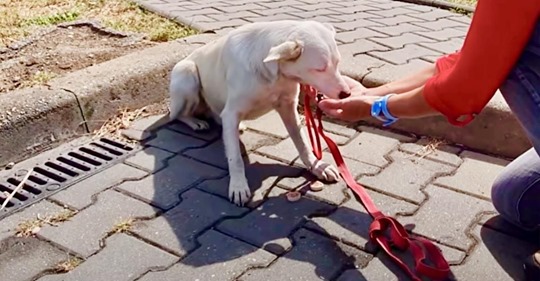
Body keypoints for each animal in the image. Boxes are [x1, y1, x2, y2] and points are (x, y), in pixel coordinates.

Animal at [171, 19, 352, 203]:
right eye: (319, 69)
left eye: (337, 63)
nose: (346, 94)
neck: (273, 74)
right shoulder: (232, 113)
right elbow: (235, 158)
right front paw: (238, 185)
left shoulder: (288, 108)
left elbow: (303, 143)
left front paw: (317, 166)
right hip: (187, 74)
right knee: (177, 115)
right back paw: (195, 122)